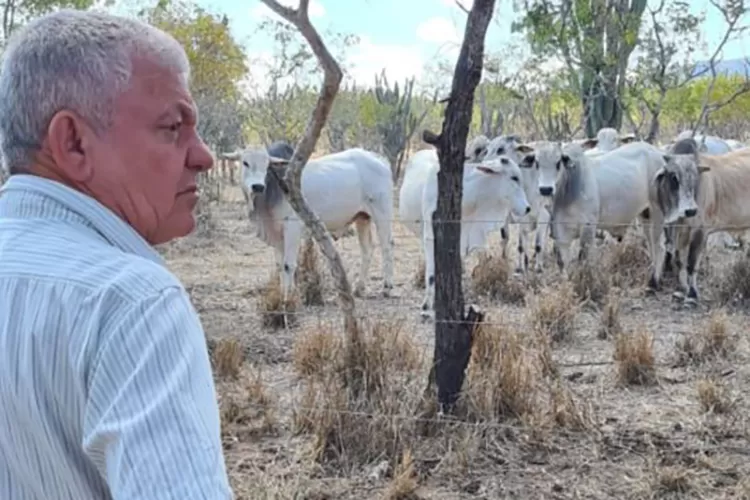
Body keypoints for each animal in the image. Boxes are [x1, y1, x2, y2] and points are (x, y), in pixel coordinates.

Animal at [225, 143, 396, 302]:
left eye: (267, 165)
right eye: (245, 162)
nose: (258, 187)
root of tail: (379, 159)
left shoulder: (292, 226)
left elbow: (289, 265)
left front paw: (289, 298)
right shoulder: (277, 234)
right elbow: (280, 266)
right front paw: (282, 295)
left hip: (382, 213)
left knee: (387, 246)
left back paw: (387, 287)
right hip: (362, 218)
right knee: (367, 249)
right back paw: (359, 288)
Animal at [532, 141, 668, 274]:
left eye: (558, 163)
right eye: (537, 163)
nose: (545, 189)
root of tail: (658, 152)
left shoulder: (588, 227)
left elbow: (583, 259)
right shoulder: (561, 235)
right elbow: (563, 264)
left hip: (658, 213)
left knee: (659, 246)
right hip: (645, 214)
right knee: (650, 241)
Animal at [648, 135, 750, 302]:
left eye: (695, 178)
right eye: (673, 177)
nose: (690, 210)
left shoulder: (700, 231)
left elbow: (691, 263)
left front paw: (691, 294)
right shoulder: (669, 227)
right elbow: (672, 256)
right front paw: (661, 284)